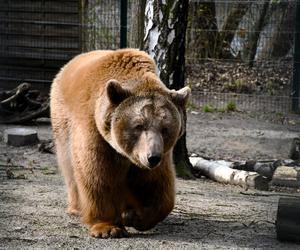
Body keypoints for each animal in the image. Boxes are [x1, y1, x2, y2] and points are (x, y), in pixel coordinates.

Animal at [49, 47, 190, 237]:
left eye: (165, 128)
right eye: (139, 125)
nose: (152, 157)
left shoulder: (157, 153)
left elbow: (156, 185)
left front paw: (135, 216)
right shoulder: (95, 131)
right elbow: (98, 175)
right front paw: (108, 227)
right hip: (62, 122)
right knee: (69, 165)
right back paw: (76, 208)